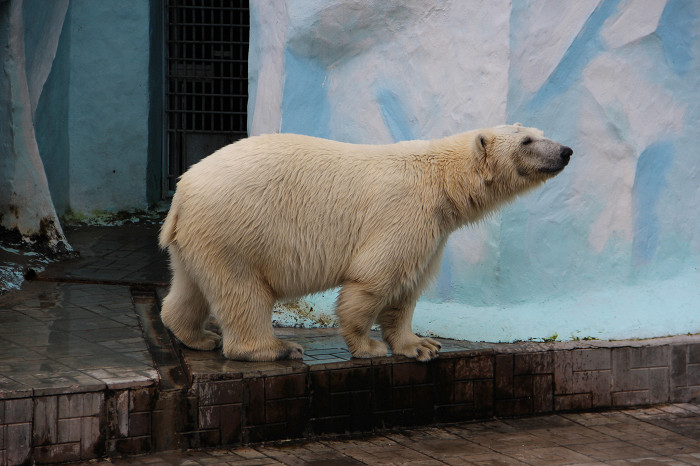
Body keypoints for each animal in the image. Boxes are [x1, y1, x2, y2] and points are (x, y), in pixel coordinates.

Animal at [161, 125, 572, 362]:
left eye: (540, 130)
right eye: (527, 140)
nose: (566, 151)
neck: (441, 178)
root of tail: (182, 190)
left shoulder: (434, 230)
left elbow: (409, 287)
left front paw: (421, 345)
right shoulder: (405, 212)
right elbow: (376, 278)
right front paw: (369, 347)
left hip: (202, 237)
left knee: (190, 285)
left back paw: (197, 336)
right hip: (238, 228)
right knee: (242, 290)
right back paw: (276, 349)